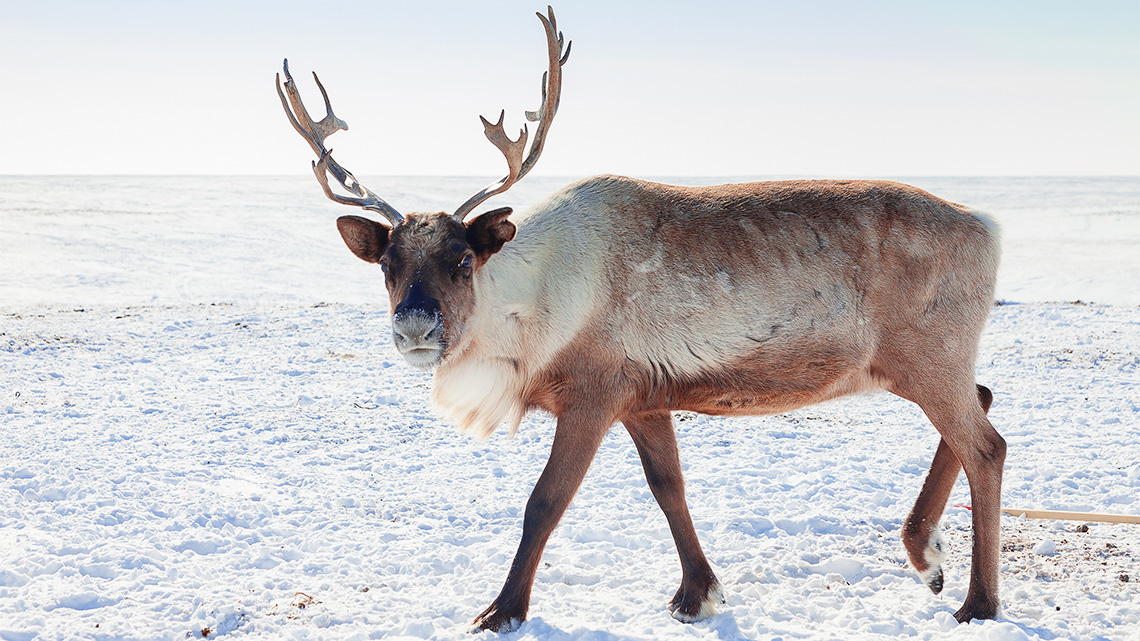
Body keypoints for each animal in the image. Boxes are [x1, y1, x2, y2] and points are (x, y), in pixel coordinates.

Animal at [276, 6, 1005, 633]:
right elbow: (668, 487)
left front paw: (502, 610)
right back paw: (926, 556)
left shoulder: (592, 394)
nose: (416, 327)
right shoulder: (644, 398)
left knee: (987, 445)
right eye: (387, 261)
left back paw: (978, 600)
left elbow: (545, 501)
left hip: (927, 357)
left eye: (462, 258)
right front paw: (696, 592)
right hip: (918, 364)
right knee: (985, 400)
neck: (526, 311)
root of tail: (988, 226)